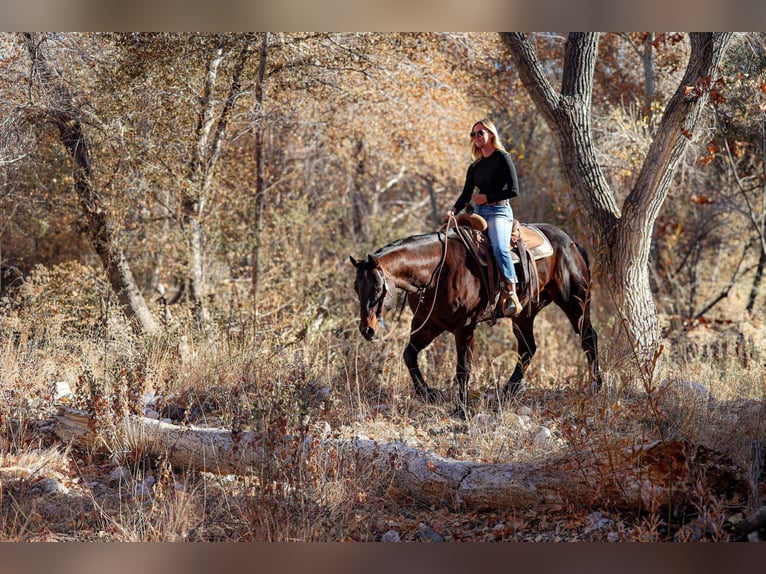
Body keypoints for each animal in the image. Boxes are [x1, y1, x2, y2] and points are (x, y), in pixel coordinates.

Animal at [352, 219, 604, 410]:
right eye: (356, 288)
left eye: (377, 288)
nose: (367, 330)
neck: (437, 271)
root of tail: (572, 243)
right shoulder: (429, 324)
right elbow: (409, 355)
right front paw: (429, 393)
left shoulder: (464, 327)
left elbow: (463, 368)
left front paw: (461, 409)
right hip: (523, 314)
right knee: (527, 348)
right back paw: (507, 392)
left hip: (574, 302)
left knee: (588, 337)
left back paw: (596, 385)